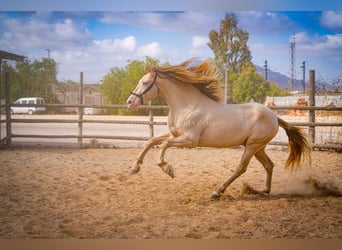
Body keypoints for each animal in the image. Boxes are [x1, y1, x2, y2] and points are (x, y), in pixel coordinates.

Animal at [126, 58, 312, 199]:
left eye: (145, 83)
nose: (130, 102)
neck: (187, 106)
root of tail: (274, 116)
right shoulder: (174, 134)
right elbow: (151, 141)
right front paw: (134, 168)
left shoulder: (189, 140)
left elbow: (163, 146)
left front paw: (168, 169)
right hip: (258, 147)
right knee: (269, 165)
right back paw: (263, 191)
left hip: (252, 146)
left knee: (241, 168)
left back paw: (217, 192)